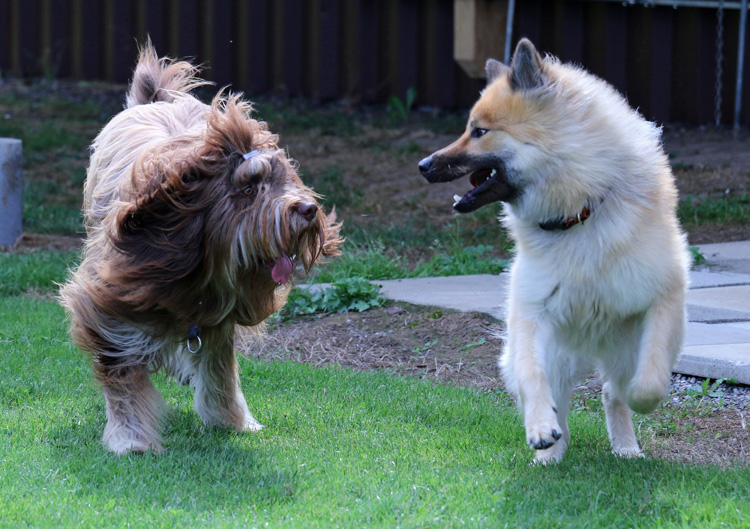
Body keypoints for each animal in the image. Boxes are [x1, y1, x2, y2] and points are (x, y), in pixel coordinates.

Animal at [61, 43, 344, 454]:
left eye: (281, 179)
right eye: (247, 189)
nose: (307, 210)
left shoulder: (219, 315)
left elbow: (219, 368)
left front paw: (231, 421)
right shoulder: (109, 301)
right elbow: (122, 372)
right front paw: (131, 438)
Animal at [420, 40, 692, 462]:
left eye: (479, 132)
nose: (423, 165)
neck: (577, 213)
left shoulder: (664, 297)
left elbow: (649, 381)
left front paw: (642, 400)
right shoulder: (532, 313)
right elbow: (533, 375)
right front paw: (540, 430)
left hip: (623, 347)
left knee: (612, 390)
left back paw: (626, 447)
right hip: (559, 355)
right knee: (558, 398)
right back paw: (550, 452)